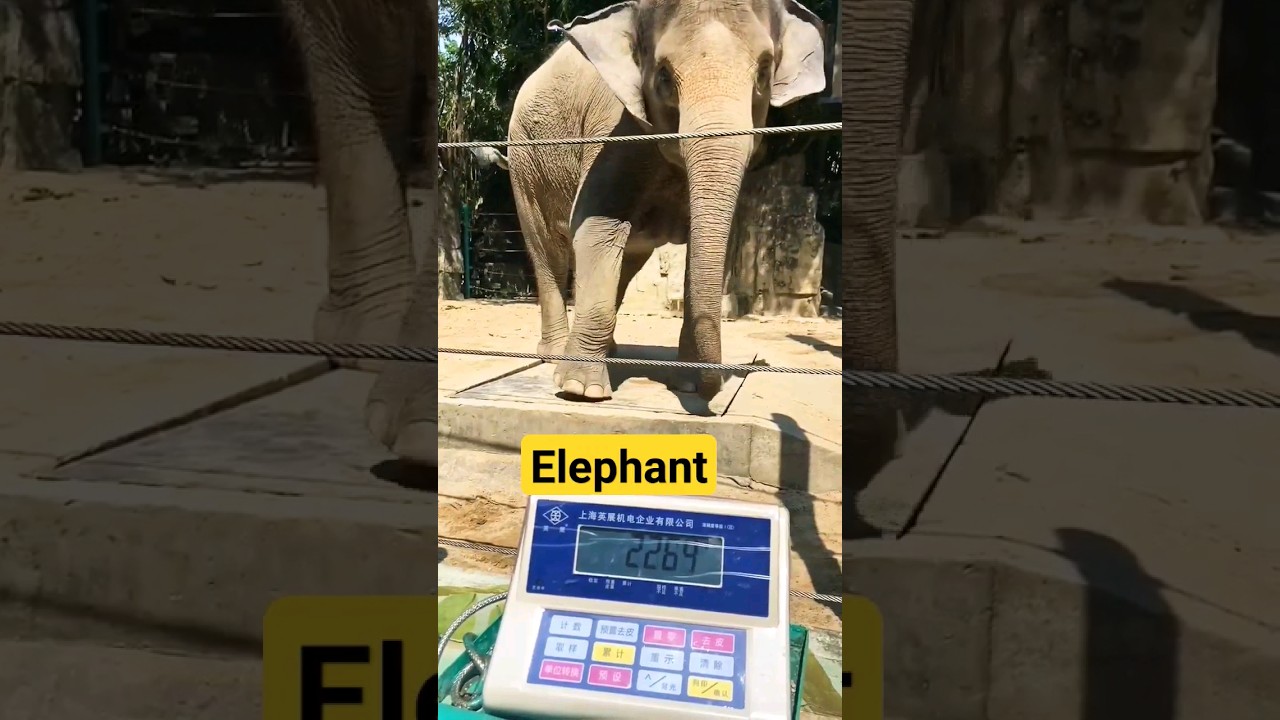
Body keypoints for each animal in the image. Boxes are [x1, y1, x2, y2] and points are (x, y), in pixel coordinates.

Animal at [483, 0, 829, 401]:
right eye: (663, 76)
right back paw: (554, 355)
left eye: (763, 71)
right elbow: (596, 226)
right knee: (547, 249)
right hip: (526, 159)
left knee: (626, 261)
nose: (714, 384)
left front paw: (690, 382)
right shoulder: (613, 131)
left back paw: (610, 352)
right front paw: (580, 390)